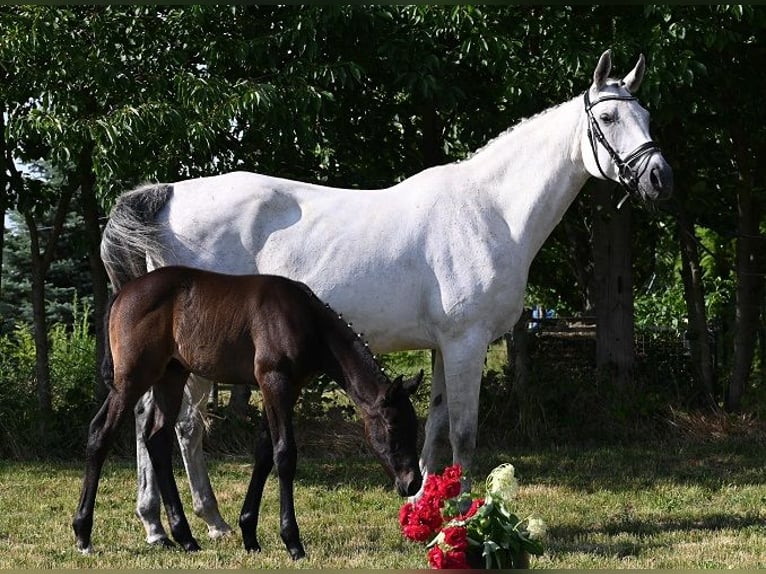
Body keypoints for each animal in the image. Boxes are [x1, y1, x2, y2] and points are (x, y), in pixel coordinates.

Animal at [100, 50, 672, 548]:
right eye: (610, 116)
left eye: (646, 114)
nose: (659, 177)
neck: (489, 210)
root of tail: (168, 196)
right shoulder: (467, 344)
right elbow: (464, 434)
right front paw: (464, 520)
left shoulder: (443, 347)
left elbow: (436, 430)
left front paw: (425, 507)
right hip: (197, 356)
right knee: (182, 426)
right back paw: (198, 523)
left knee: (151, 420)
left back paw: (159, 523)